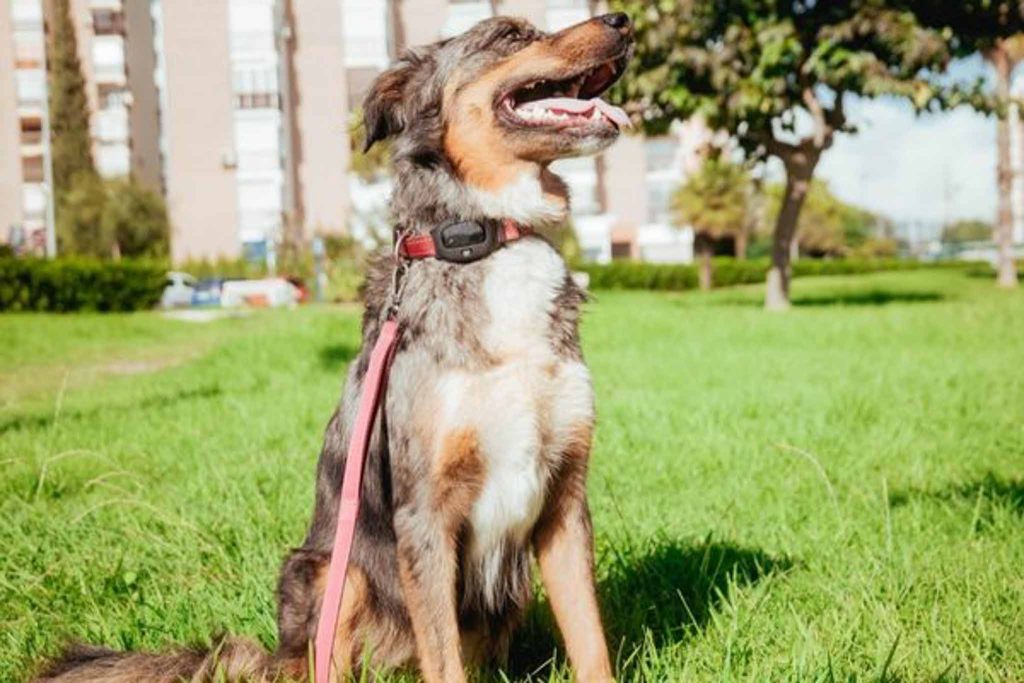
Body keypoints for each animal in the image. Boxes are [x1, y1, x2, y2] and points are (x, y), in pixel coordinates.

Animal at [39, 12, 634, 683]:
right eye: (508, 35)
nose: (621, 19)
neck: (489, 240)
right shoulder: (424, 514)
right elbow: (445, 658)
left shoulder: (565, 502)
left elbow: (590, 644)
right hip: (329, 572)